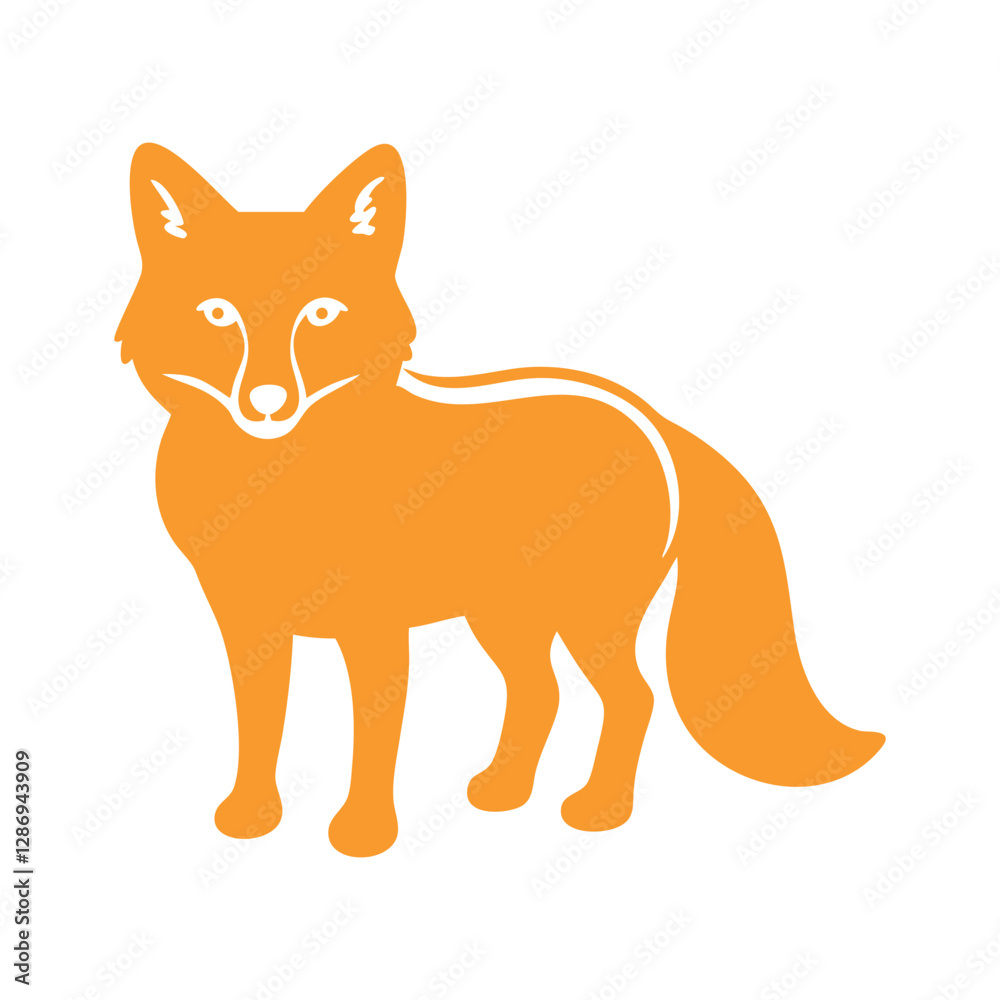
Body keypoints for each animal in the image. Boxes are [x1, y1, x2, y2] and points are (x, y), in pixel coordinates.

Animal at [117, 142, 884, 857]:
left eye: (323, 312)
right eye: (217, 313)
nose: (269, 403)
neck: (275, 487)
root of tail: (653, 418)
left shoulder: (375, 630)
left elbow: (374, 735)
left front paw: (365, 833)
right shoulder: (247, 625)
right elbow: (259, 728)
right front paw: (250, 818)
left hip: (587, 617)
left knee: (631, 698)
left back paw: (601, 810)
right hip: (503, 617)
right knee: (540, 693)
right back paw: (505, 791)